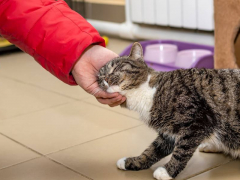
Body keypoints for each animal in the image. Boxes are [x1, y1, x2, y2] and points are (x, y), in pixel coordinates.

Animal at [96, 42, 239, 180]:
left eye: (116, 68)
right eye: (100, 76)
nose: (105, 79)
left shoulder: (198, 122)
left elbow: (182, 151)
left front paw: (167, 171)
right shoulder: (169, 132)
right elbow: (153, 150)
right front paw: (132, 162)